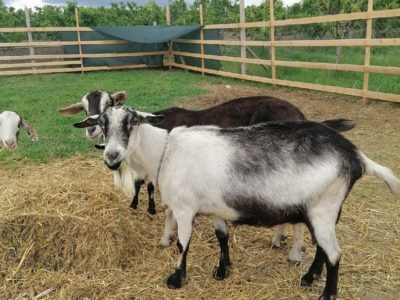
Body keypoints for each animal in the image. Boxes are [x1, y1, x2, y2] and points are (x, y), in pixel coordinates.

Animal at [72, 106, 400, 300]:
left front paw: (177, 278)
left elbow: (182, 244)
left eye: (132, 123)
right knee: (323, 247)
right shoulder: (216, 207)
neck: (165, 151)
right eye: (102, 124)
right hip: (321, 211)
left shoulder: (184, 209)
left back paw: (325, 293)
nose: (112, 157)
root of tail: (355, 156)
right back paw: (309, 277)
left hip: (323, 208)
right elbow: (222, 237)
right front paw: (222, 270)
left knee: (334, 254)